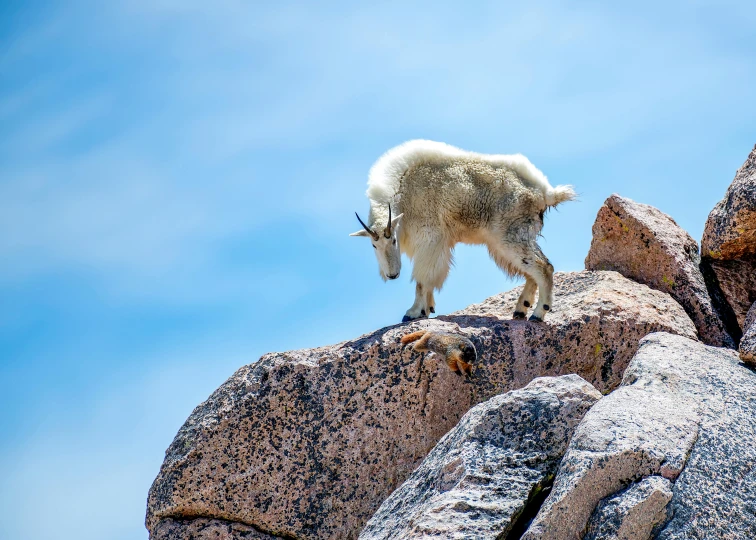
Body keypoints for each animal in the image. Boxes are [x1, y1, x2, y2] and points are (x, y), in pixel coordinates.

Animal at [352, 141, 576, 322]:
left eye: (394, 241)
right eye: (373, 245)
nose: (392, 275)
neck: (403, 190)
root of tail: (544, 192)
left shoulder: (430, 238)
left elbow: (422, 279)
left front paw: (413, 312)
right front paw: (428, 308)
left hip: (510, 234)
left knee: (543, 267)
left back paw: (538, 314)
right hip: (505, 240)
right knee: (532, 270)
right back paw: (521, 309)